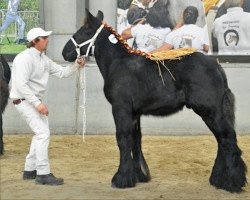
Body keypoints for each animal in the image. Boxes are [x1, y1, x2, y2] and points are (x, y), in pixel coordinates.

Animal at [62, 10, 246, 193]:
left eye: (83, 32)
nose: (65, 52)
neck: (118, 63)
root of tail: (217, 67)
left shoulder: (121, 109)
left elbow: (123, 139)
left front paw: (121, 179)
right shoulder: (134, 113)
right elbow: (135, 140)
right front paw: (139, 175)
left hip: (209, 111)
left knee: (227, 138)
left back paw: (232, 183)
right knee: (222, 140)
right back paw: (218, 179)